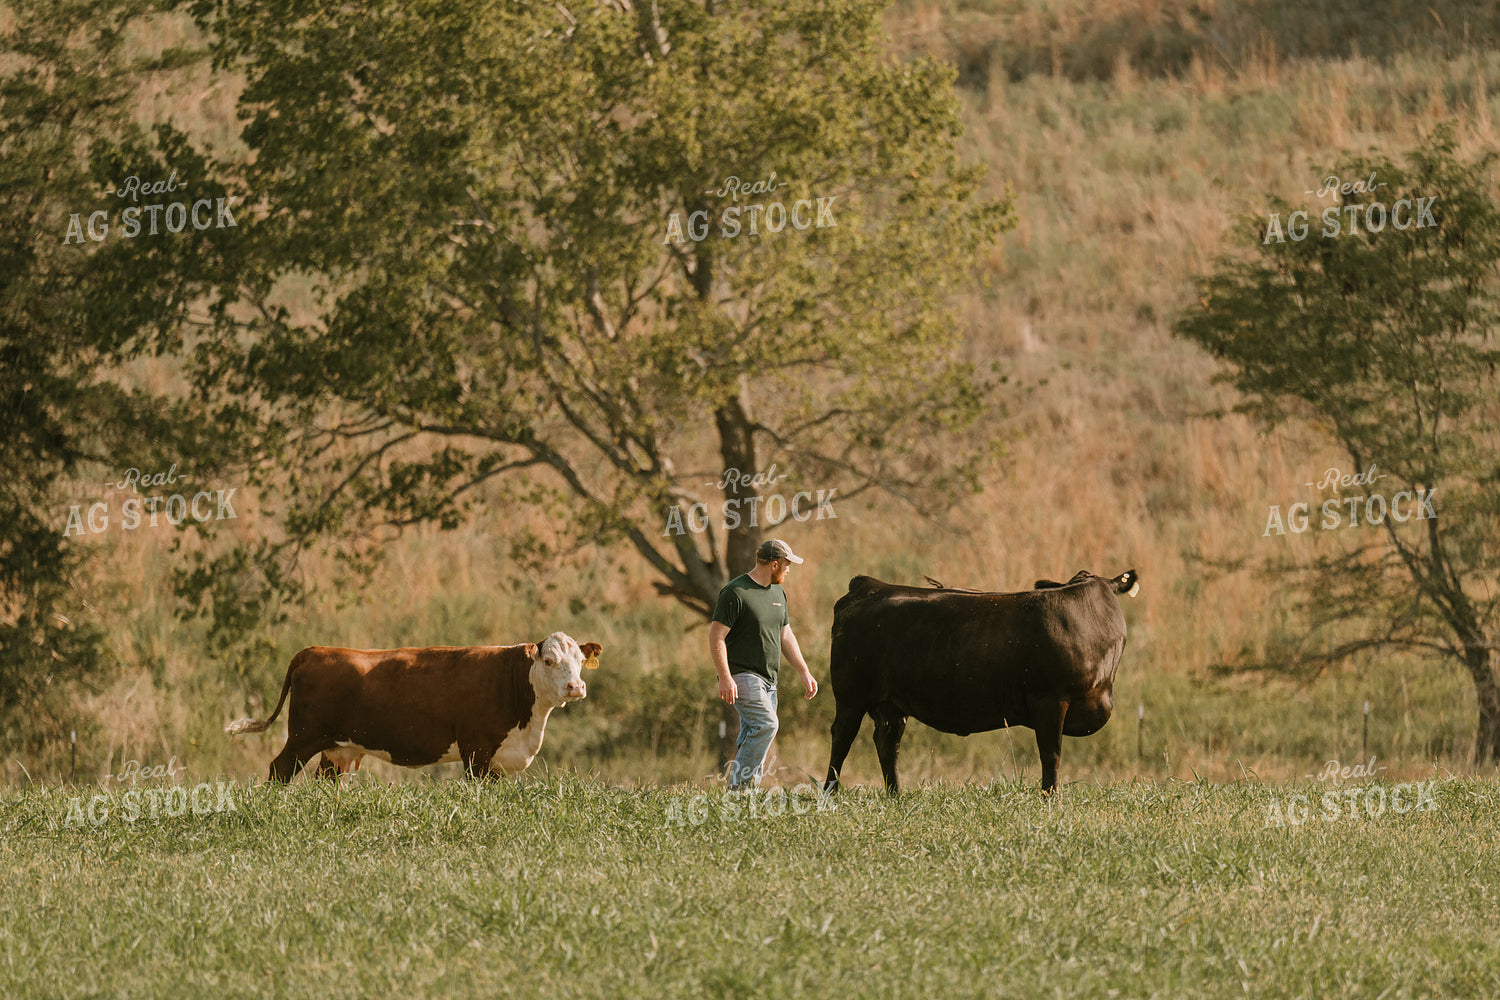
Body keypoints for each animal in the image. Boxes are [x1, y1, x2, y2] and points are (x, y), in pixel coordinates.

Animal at [225, 632, 602, 782]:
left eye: (581, 661)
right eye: (549, 660)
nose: (576, 687)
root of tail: (314, 650)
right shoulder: (477, 752)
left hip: (337, 748)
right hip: (303, 737)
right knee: (279, 769)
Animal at [823, 570, 1139, 795]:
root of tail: (871, 586)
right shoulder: (1050, 700)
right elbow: (1051, 754)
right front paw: (1050, 798)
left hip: (891, 705)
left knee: (887, 744)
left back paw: (896, 795)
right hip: (850, 697)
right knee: (842, 738)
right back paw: (830, 793)